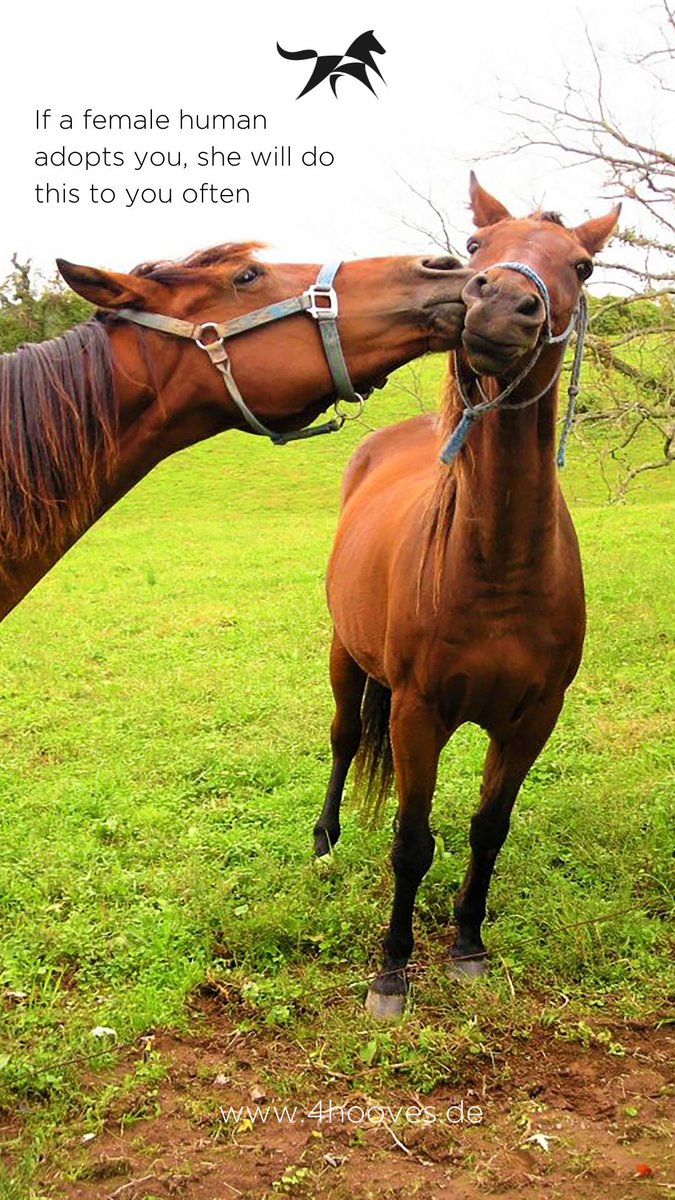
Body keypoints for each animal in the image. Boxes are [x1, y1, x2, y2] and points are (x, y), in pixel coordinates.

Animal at [314, 175, 620, 1018]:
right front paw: (391, 969)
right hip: (345, 655)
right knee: (343, 739)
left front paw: (468, 946)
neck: (498, 571)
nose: (500, 306)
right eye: (477, 247)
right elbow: (411, 841)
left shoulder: (533, 718)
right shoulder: (419, 713)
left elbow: (488, 829)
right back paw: (323, 840)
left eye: (580, 264)